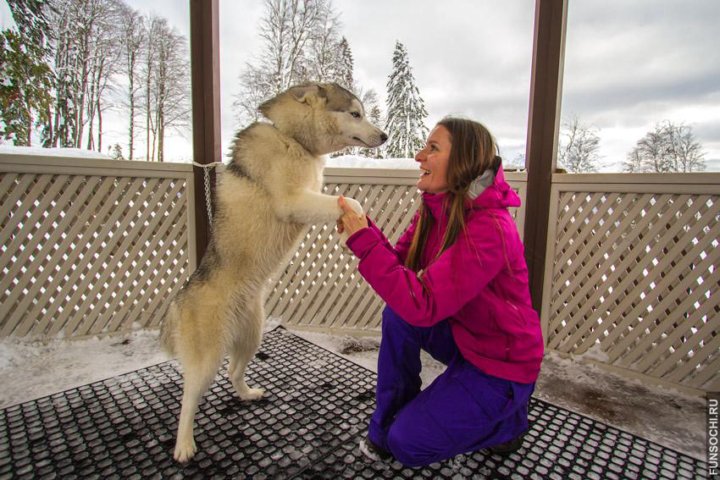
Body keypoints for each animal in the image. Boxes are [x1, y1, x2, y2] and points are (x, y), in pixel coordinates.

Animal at [160, 82, 388, 462]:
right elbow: (350, 202)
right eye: (356, 113)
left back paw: (247, 393)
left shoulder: (309, 196)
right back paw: (184, 445)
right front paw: (354, 218)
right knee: (187, 400)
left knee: (233, 372)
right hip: (206, 360)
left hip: (252, 336)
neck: (292, 138)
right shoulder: (294, 201)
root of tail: (179, 299)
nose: (384, 136)